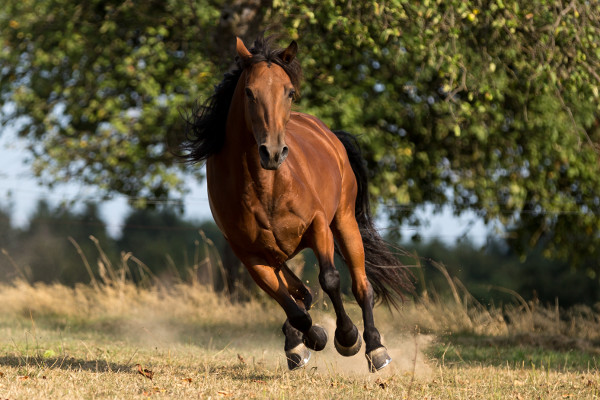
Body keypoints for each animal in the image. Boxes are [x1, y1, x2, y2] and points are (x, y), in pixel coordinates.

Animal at [179, 34, 412, 372]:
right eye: (249, 92)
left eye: (289, 92)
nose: (273, 152)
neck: (265, 187)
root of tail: (328, 133)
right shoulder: (251, 256)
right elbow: (292, 305)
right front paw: (310, 339)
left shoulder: (318, 227)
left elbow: (330, 279)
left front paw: (347, 337)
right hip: (279, 253)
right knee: (301, 293)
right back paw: (298, 343)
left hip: (344, 222)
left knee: (360, 286)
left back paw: (375, 348)